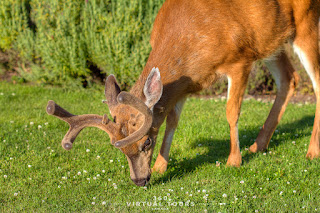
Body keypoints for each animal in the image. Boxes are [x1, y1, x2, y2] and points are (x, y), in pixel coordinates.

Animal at [47, 0, 320, 186]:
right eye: (121, 149)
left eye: (146, 142)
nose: (139, 180)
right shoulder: (185, 85)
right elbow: (171, 121)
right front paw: (160, 166)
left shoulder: (240, 60)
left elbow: (231, 112)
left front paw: (234, 161)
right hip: (272, 41)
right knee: (289, 78)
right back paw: (258, 145)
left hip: (307, 24)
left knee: (315, 82)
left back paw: (311, 152)